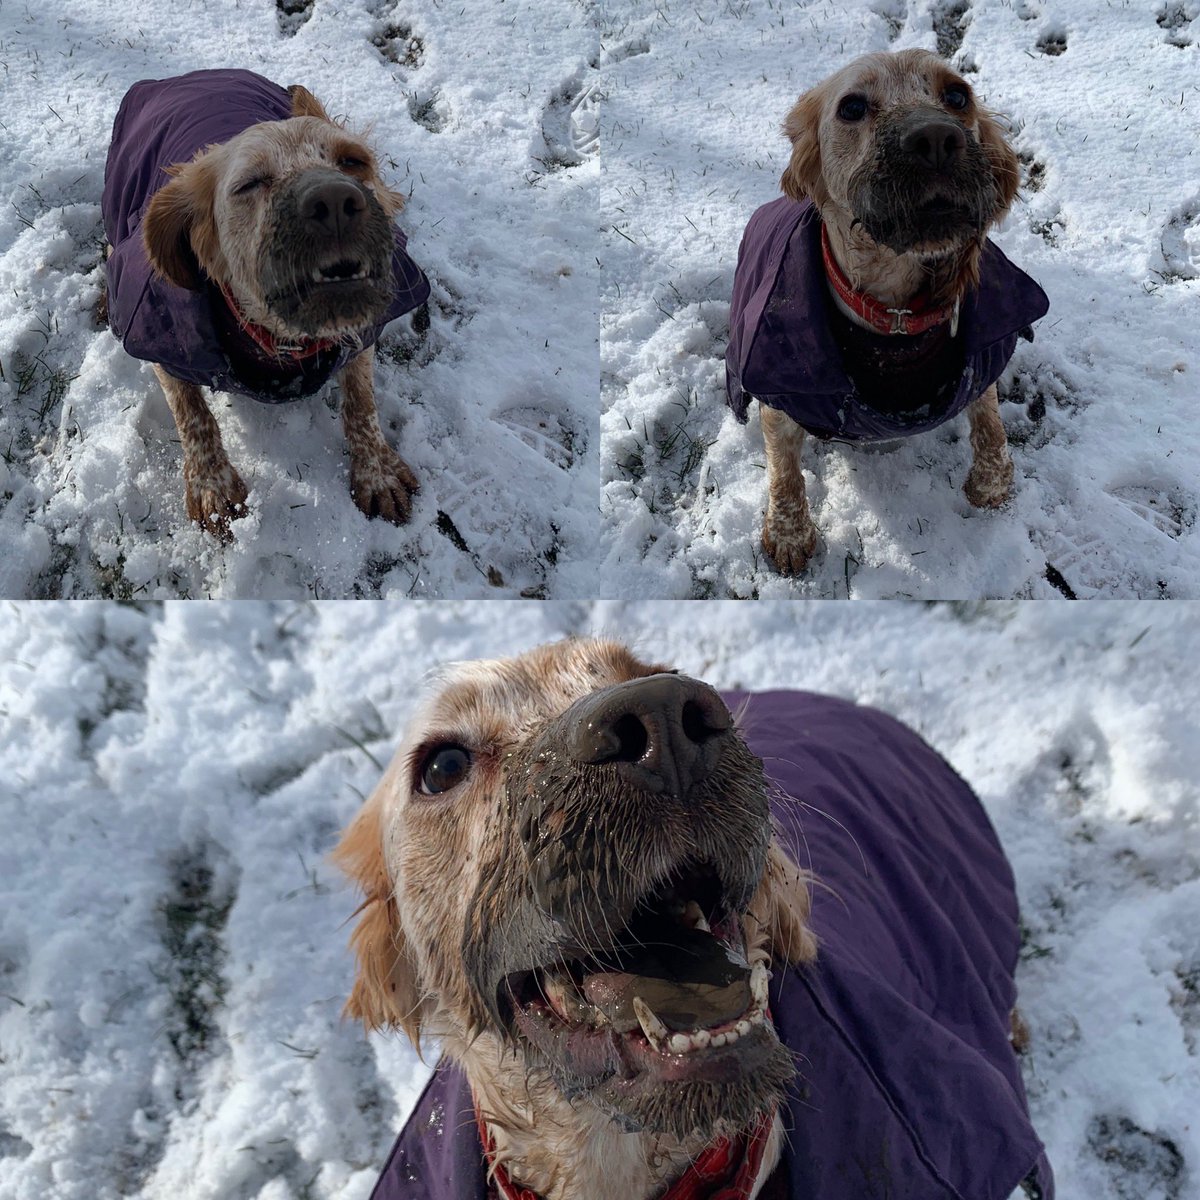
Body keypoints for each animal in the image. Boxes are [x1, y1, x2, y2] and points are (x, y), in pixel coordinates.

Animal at [102, 72, 432, 542]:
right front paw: (213, 485)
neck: (285, 341)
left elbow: (361, 400)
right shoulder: (157, 337)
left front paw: (377, 470)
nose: (335, 202)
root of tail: (185, 76)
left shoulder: (364, 331)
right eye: (250, 184)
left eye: (353, 161)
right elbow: (192, 412)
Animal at [720, 54, 1051, 578]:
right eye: (852, 107)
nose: (936, 139)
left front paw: (990, 485)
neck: (894, 314)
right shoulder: (781, 392)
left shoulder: (982, 359)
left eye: (957, 95)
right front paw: (789, 535)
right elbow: (784, 472)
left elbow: (991, 423)